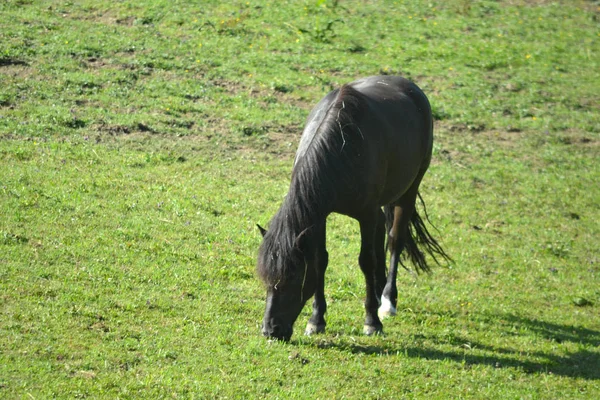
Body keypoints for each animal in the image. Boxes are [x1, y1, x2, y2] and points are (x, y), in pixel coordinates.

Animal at [255, 75, 448, 340]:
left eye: (293, 278)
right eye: (266, 280)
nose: (270, 330)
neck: (342, 149)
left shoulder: (365, 215)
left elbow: (366, 260)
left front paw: (372, 322)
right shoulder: (320, 216)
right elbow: (320, 260)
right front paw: (316, 320)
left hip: (408, 190)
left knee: (394, 240)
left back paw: (387, 301)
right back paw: (378, 290)